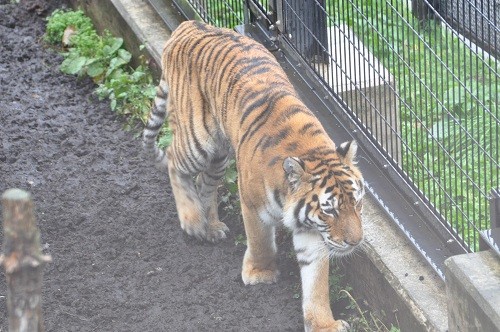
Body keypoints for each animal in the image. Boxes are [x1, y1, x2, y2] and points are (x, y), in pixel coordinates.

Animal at [143, 20, 366, 332]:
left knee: (203, 182)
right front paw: (260, 273)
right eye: (329, 210)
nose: (355, 242)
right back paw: (192, 221)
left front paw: (323, 324)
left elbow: (316, 279)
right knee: (174, 161)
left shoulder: (311, 229)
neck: (311, 151)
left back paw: (210, 226)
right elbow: (260, 242)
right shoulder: (252, 204)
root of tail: (189, 25)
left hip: (220, 154)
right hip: (197, 139)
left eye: (357, 203)